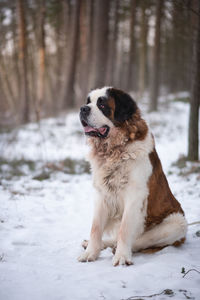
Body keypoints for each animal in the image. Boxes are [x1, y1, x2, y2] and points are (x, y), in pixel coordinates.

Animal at [77, 86, 186, 264]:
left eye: (102, 104)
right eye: (88, 102)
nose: (83, 109)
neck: (115, 150)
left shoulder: (134, 196)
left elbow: (125, 229)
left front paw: (121, 257)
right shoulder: (101, 194)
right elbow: (96, 227)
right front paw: (90, 253)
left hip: (177, 223)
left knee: (141, 240)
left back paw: (118, 249)